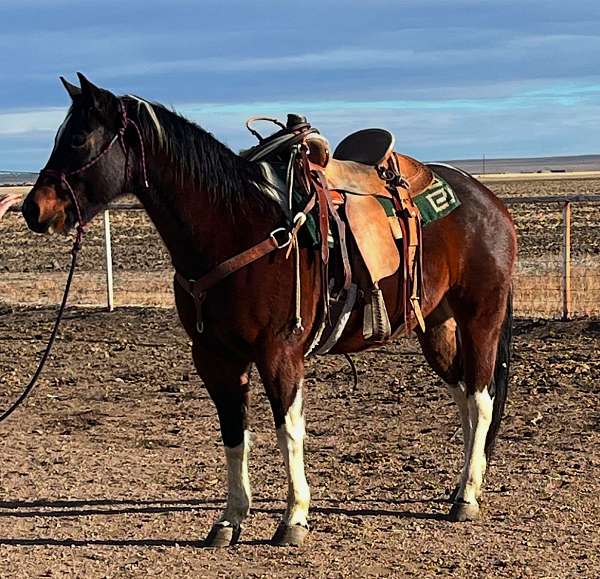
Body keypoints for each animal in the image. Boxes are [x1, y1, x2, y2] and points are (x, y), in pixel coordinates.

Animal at [22, 76, 516, 548]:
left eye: (79, 139)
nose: (33, 209)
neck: (236, 226)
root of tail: (489, 202)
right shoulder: (214, 357)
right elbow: (233, 433)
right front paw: (229, 520)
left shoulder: (280, 353)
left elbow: (288, 431)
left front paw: (294, 518)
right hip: (436, 326)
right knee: (464, 398)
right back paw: (462, 485)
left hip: (480, 317)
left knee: (481, 397)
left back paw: (467, 497)